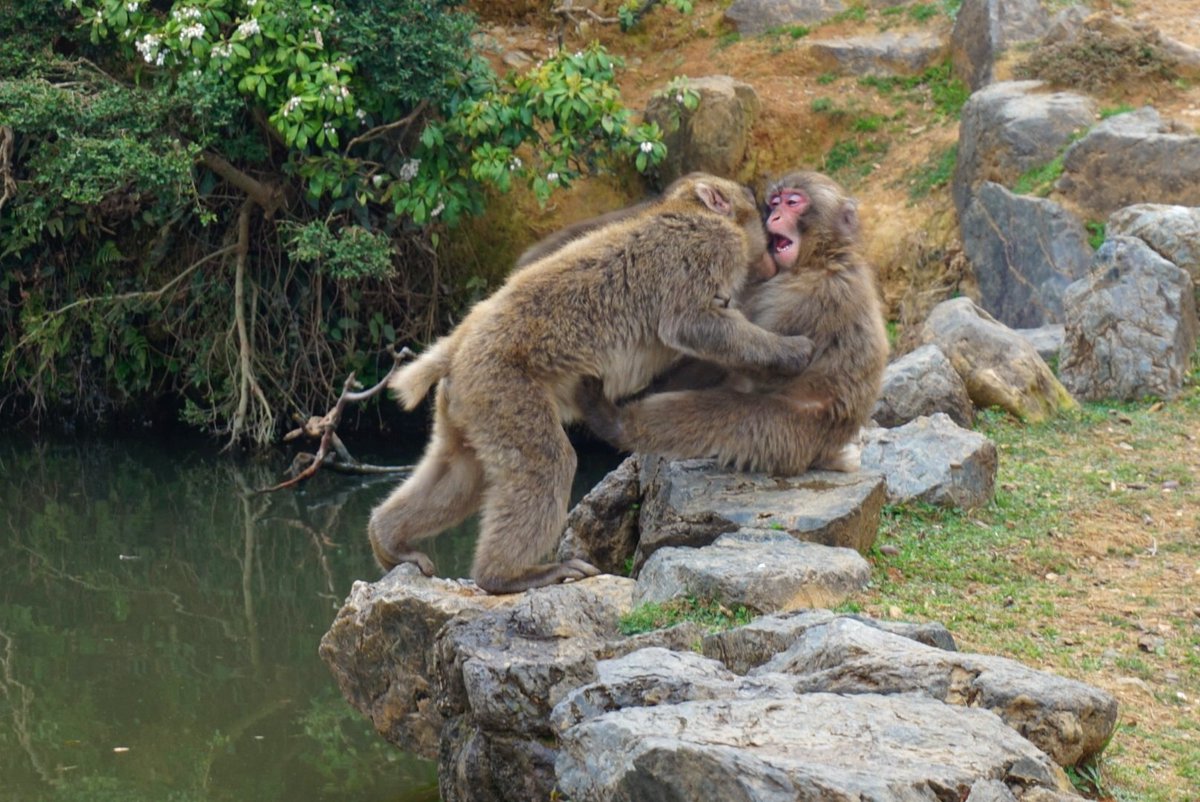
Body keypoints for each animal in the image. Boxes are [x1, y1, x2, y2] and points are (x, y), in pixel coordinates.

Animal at [364, 172, 816, 593]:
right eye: (755, 204)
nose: (769, 213)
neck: (690, 211)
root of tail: (458, 346)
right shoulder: (708, 245)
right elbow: (691, 324)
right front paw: (788, 351)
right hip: (503, 385)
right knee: (545, 463)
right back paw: (507, 575)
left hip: (470, 400)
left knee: (460, 473)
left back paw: (388, 539)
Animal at [571, 169, 892, 475]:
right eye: (775, 202)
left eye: (792, 202)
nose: (773, 215)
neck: (816, 261)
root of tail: (826, 452)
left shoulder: (816, 297)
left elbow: (766, 372)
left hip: (786, 433)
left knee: (715, 414)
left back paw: (613, 422)